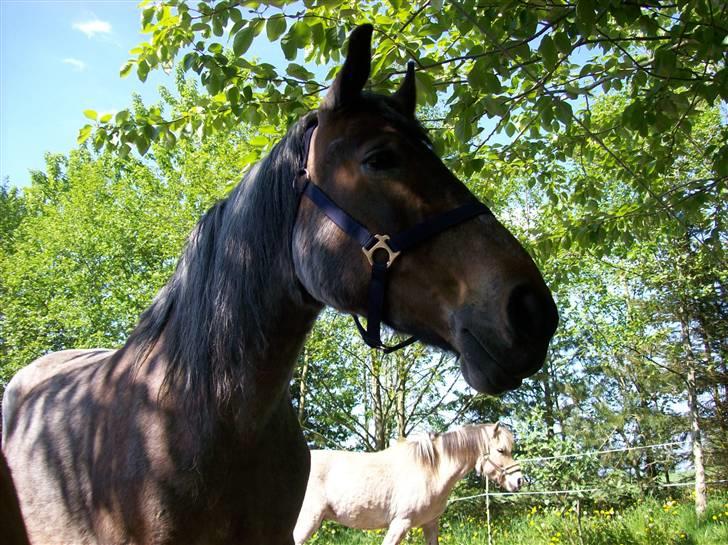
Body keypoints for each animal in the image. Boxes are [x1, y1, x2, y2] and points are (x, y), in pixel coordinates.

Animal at [292, 420, 520, 544]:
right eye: (501, 450)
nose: (519, 480)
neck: (430, 470)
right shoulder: (401, 523)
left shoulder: (430, 523)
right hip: (308, 521)